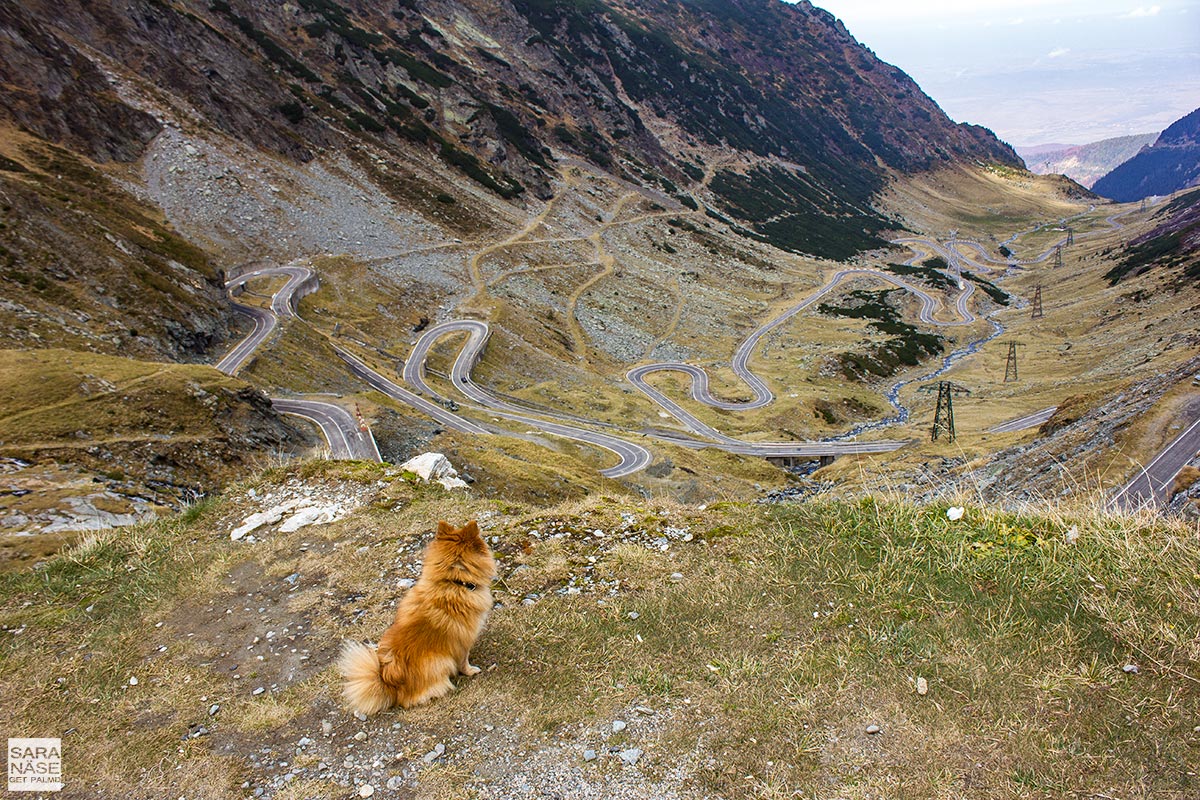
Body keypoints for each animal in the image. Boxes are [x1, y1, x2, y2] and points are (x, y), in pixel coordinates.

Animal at [336, 522, 494, 714]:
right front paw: (471, 671)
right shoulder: (463, 641)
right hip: (441, 662)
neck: (453, 582)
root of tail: (390, 684)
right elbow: (464, 661)